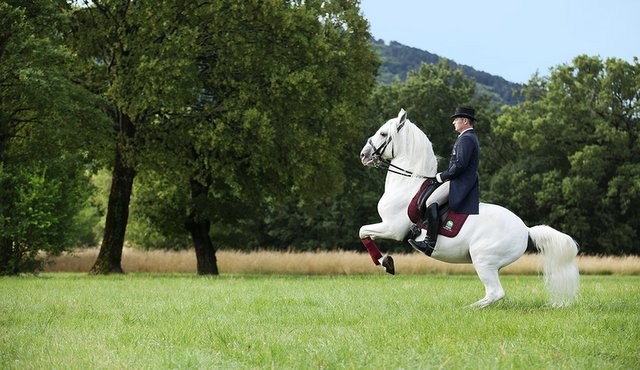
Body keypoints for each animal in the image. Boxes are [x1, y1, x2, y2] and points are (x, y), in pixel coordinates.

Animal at [360, 108, 580, 308]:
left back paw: (466, 309)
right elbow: (364, 232)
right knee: (494, 292)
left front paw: (384, 262)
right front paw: (385, 261)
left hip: (482, 259)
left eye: (383, 134)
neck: (408, 185)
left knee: (495, 292)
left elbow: (363, 231)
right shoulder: (390, 227)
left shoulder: (393, 228)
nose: (364, 155)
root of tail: (525, 229)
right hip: (491, 264)